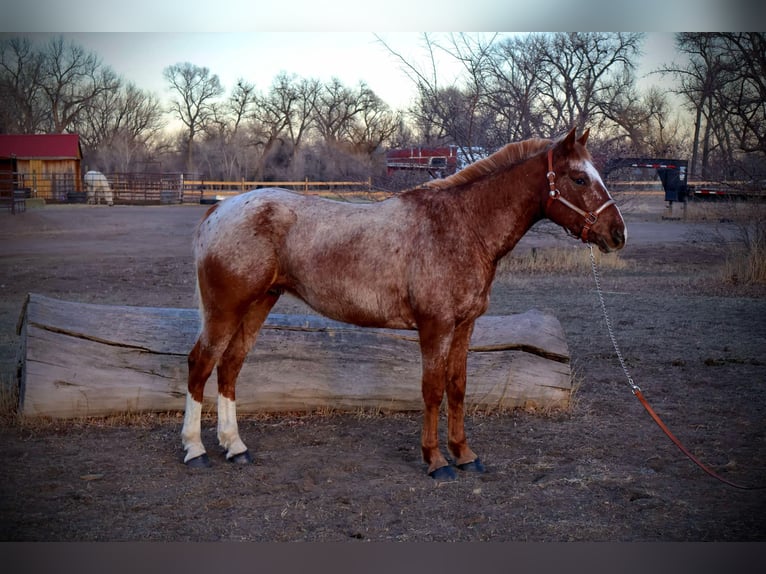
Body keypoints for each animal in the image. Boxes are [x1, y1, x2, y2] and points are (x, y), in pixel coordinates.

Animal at [180, 127, 626, 480]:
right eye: (578, 179)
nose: (617, 233)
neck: (462, 226)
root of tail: (221, 209)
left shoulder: (465, 325)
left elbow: (458, 387)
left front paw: (465, 455)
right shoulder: (435, 326)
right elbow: (432, 390)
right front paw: (436, 461)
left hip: (258, 305)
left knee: (230, 367)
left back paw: (235, 447)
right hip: (226, 310)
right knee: (201, 365)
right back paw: (195, 450)